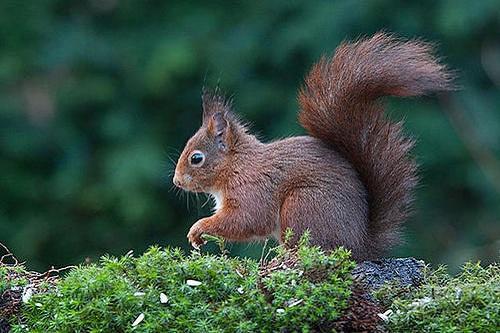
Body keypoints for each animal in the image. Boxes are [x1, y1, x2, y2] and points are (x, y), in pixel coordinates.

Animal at [173, 31, 454, 260]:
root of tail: (360, 247)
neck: (236, 165)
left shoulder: (253, 190)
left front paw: (198, 229)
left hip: (301, 205)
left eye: (196, 158)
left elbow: (246, 220)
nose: (176, 181)